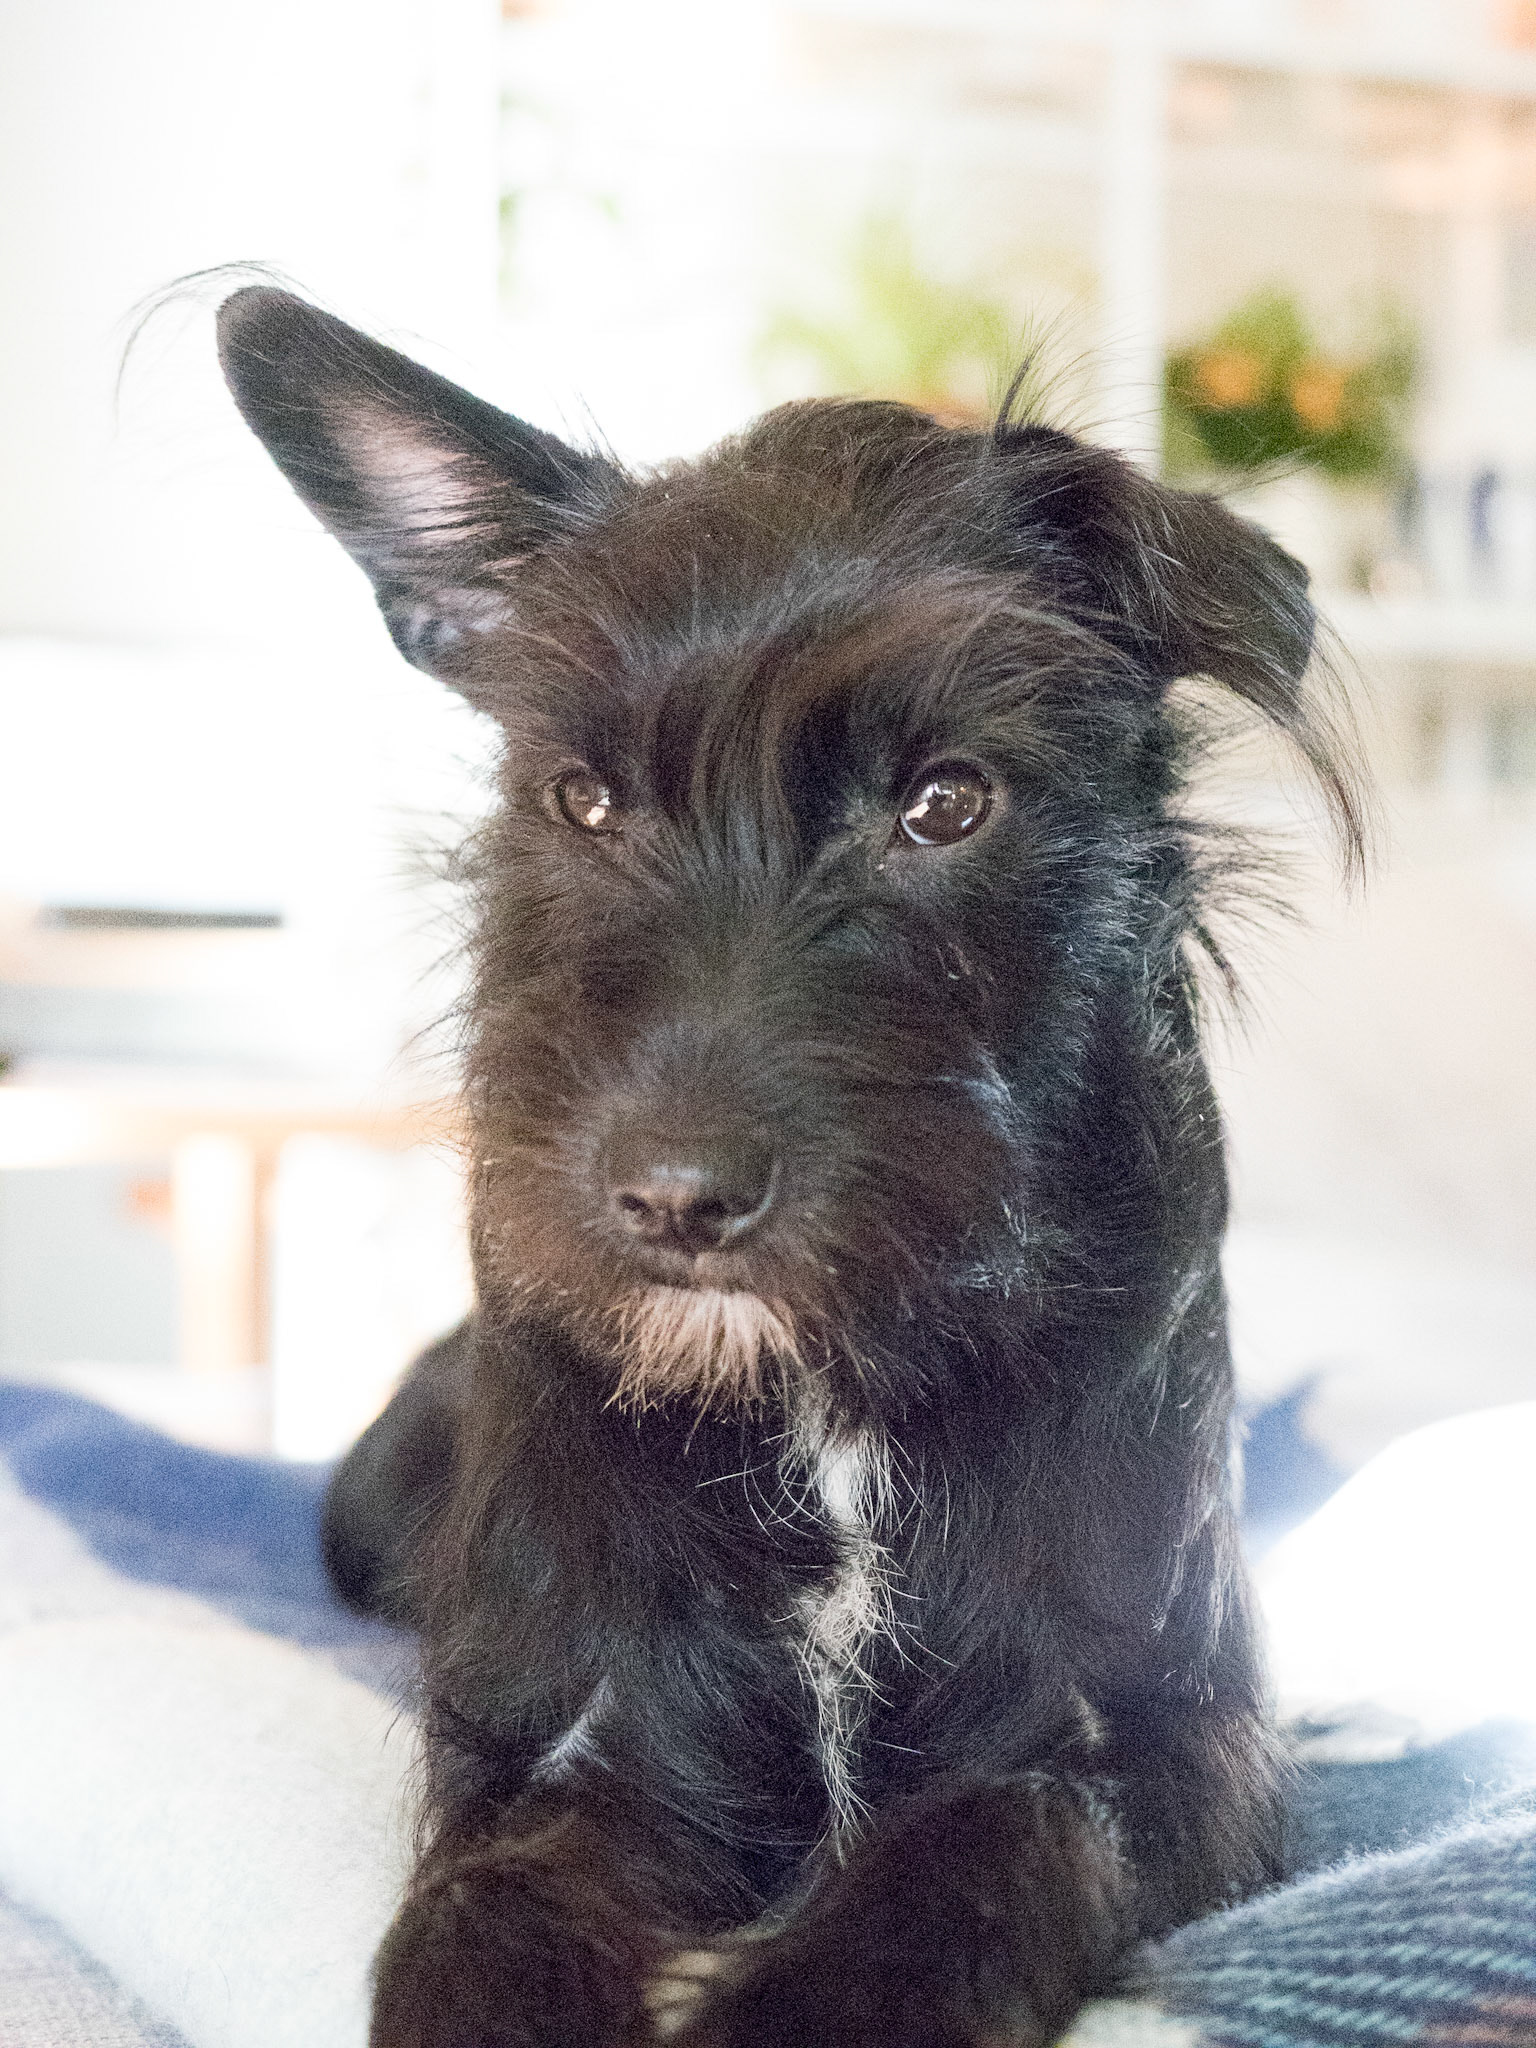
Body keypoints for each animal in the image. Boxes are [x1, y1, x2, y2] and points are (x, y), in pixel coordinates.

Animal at [217, 286, 1362, 2048]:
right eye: (581, 799)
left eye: (947, 802)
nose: (672, 1200)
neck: (823, 1402)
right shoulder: (574, 1736)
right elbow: (488, 1905)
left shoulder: (1184, 1737)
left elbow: (1016, 1824)